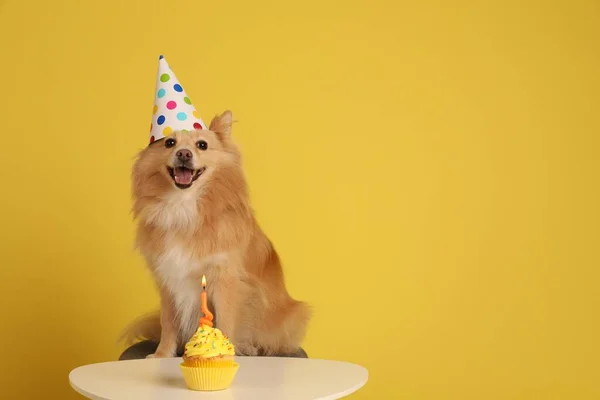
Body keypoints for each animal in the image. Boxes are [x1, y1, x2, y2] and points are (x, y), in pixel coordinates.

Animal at [120, 111, 312, 358]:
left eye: (202, 145)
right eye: (169, 143)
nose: (183, 153)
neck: (184, 206)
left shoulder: (225, 281)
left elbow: (226, 322)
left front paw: (225, 354)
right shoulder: (169, 281)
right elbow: (168, 324)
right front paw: (162, 354)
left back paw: (250, 347)